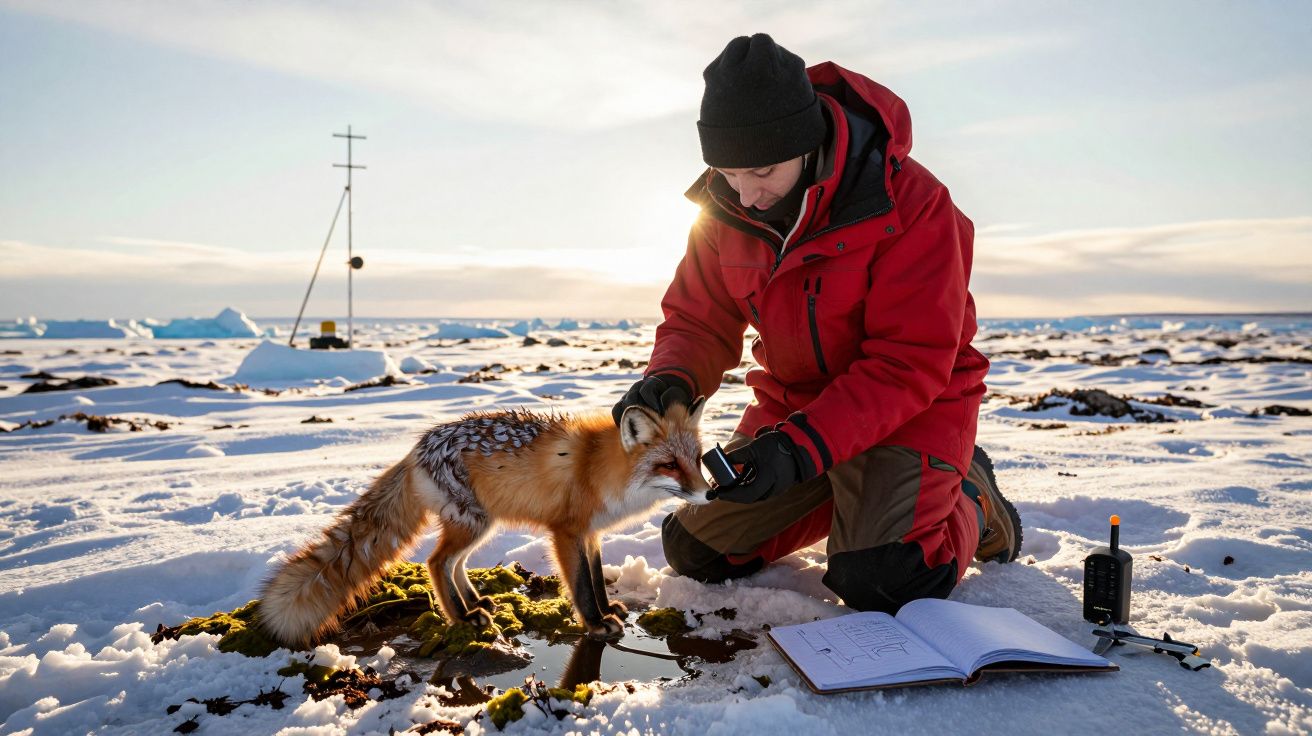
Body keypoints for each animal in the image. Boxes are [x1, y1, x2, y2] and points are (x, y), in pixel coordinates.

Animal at [258, 398, 711, 647]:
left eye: (696, 458)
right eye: (669, 464)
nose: (709, 494)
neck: (597, 468)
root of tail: (415, 449)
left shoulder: (591, 534)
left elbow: (597, 578)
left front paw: (606, 608)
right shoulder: (566, 532)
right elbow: (581, 584)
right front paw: (596, 623)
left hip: (481, 523)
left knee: (454, 563)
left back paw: (475, 603)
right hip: (472, 522)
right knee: (436, 562)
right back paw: (462, 616)